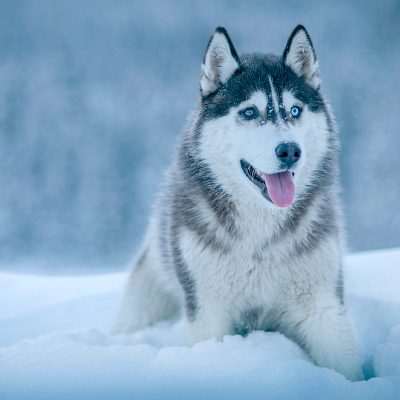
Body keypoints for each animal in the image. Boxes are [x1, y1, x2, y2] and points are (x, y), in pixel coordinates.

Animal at [114, 25, 364, 382]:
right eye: (249, 112)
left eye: (295, 110)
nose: (290, 150)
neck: (260, 232)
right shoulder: (208, 311)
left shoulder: (322, 306)